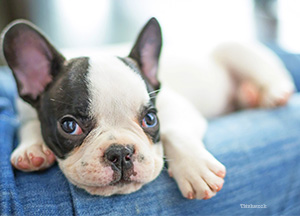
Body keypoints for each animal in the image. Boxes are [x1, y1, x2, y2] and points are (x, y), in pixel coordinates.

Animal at [0, 17, 296, 200]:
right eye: (69, 126)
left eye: (151, 119)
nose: (120, 152)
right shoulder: (26, 110)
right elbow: (29, 123)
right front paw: (32, 149)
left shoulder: (176, 105)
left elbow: (174, 131)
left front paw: (195, 168)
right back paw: (250, 97)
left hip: (233, 49)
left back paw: (271, 93)